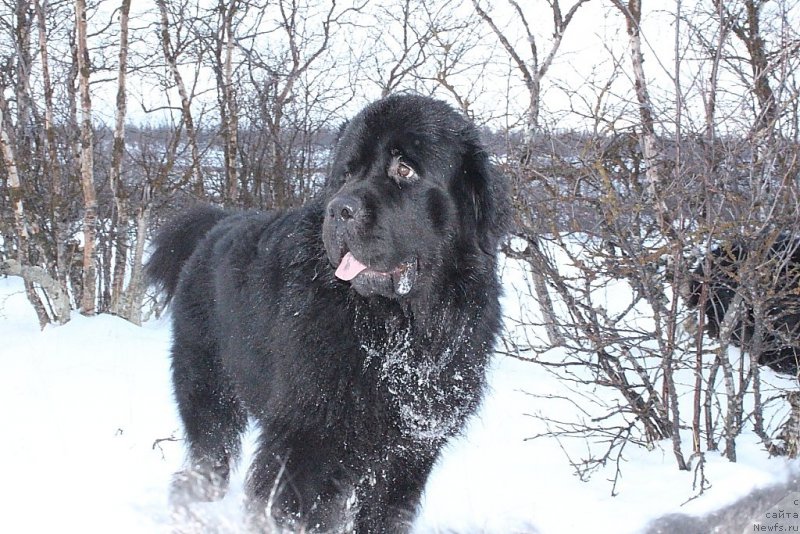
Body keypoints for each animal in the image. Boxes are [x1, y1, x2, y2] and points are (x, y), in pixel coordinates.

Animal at [147, 94, 510, 532]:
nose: (340, 209)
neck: (398, 332)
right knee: (206, 464)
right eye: (347, 173)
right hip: (210, 392)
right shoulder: (306, 441)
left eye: (405, 169)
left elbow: (382, 516)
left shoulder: (409, 456)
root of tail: (217, 222)